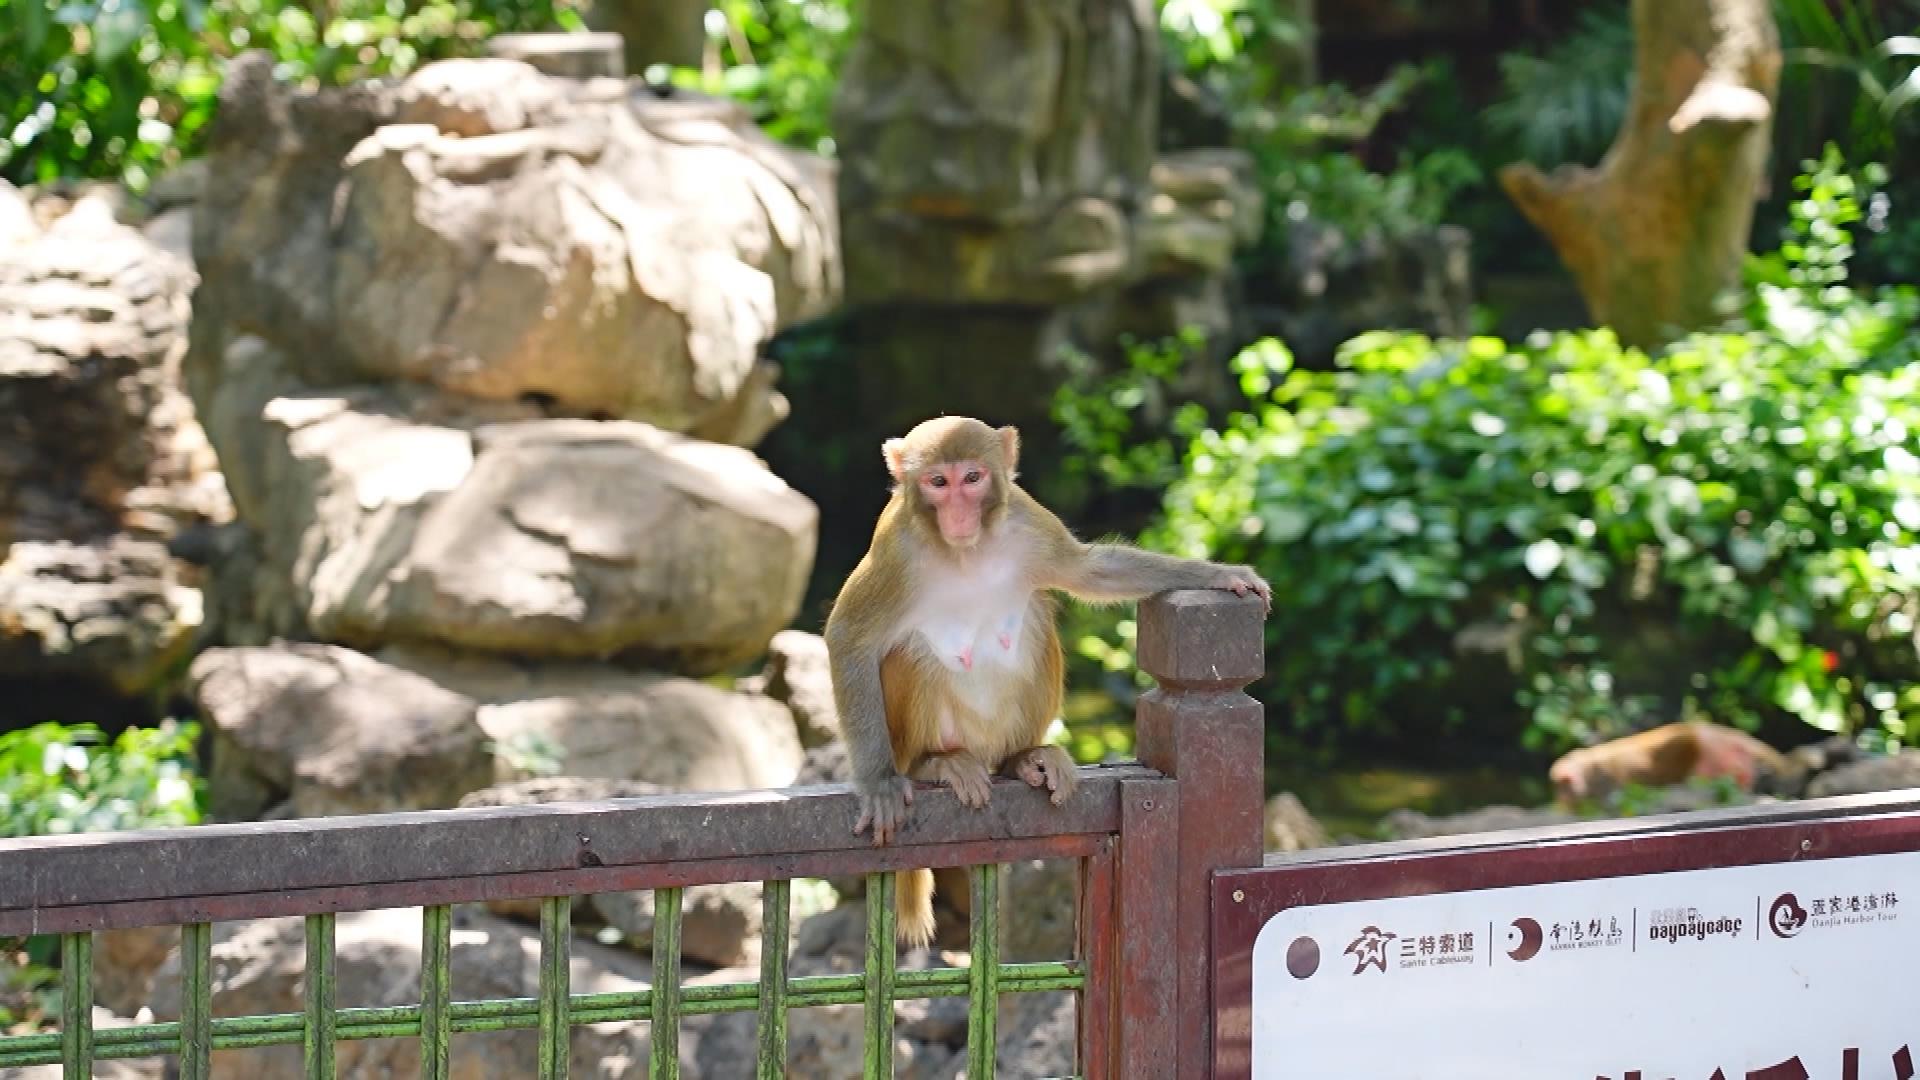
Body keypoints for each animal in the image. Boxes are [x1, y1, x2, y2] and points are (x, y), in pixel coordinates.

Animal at [823, 415, 1272, 946]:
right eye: (938, 482)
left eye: (972, 478)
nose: (958, 515)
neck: (967, 552)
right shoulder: (895, 549)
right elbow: (850, 638)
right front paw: (877, 782)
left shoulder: (1027, 520)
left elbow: (1092, 571)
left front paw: (1219, 574)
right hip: (915, 736)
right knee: (914, 653)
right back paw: (937, 762)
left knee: (1037, 614)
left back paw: (1024, 758)